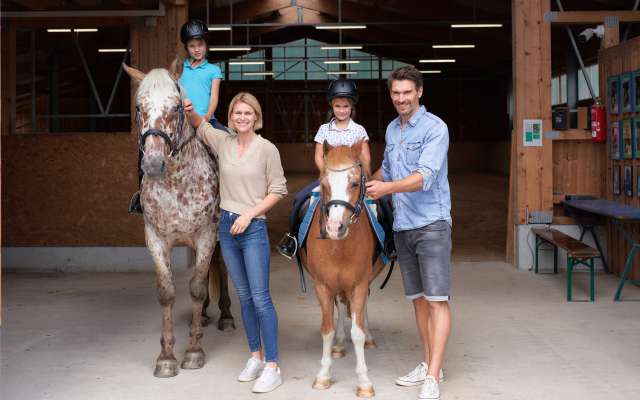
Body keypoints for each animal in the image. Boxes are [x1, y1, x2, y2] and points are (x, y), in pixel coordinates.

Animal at [124, 60, 234, 378]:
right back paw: (207, 315)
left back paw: (225, 316)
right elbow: (167, 292)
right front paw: (166, 357)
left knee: (219, 268)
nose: (152, 163)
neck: (175, 181)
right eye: (139, 107)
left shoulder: (207, 234)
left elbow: (196, 288)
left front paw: (194, 352)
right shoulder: (155, 237)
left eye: (176, 107)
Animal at [300, 143, 384, 396]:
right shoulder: (322, 285)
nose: (335, 227)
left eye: (355, 183)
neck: (340, 247)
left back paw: (368, 337)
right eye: (324, 183)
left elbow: (357, 332)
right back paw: (338, 344)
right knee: (338, 307)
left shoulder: (359, 284)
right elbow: (326, 329)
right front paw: (323, 375)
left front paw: (364, 382)